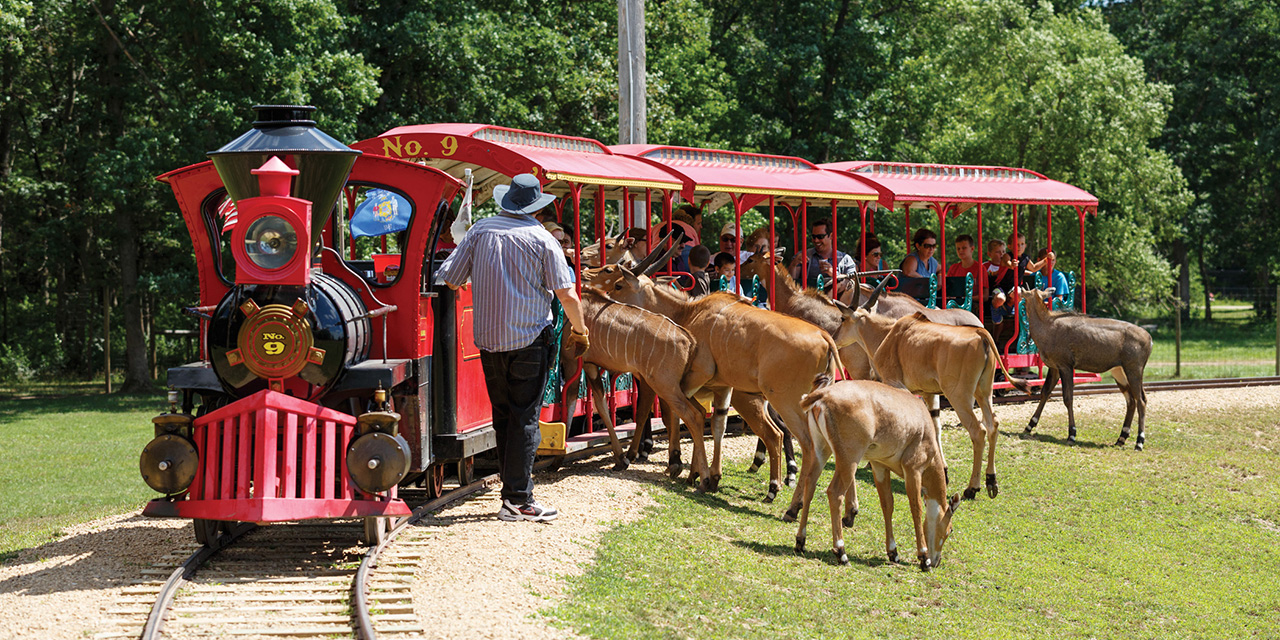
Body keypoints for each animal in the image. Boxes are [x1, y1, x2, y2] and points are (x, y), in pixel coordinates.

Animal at [586, 262, 844, 512]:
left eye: (618, 285)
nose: (605, 300)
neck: (688, 312)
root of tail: (824, 338)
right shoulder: (721, 388)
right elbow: (714, 423)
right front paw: (708, 476)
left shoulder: (690, 379)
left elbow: (680, 415)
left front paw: (683, 468)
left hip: (785, 401)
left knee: (801, 442)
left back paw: (787, 502)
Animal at [798, 378, 962, 570]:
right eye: (950, 529)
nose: (937, 561)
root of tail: (824, 395)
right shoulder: (913, 469)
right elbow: (916, 509)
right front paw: (924, 558)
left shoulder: (879, 466)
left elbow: (887, 505)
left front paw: (893, 552)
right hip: (850, 459)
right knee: (835, 492)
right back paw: (841, 552)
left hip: (821, 450)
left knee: (810, 483)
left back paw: (800, 541)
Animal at [849, 280, 1029, 499]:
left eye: (842, 318)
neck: (889, 333)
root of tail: (982, 333)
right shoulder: (929, 393)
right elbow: (935, 427)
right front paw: (942, 471)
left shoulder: (898, 385)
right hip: (983, 392)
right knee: (992, 424)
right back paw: (991, 481)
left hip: (959, 397)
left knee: (978, 431)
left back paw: (972, 488)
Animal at [1013, 288, 1157, 448]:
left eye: (1026, 292)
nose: (1014, 291)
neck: (1047, 327)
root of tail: (1150, 339)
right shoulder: (1054, 368)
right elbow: (1045, 393)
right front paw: (1029, 426)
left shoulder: (1065, 366)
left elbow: (1068, 398)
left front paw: (1072, 434)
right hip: (1119, 372)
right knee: (1131, 400)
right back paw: (1121, 438)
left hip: (1134, 370)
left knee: (1141, 400)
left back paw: (1139, 441)